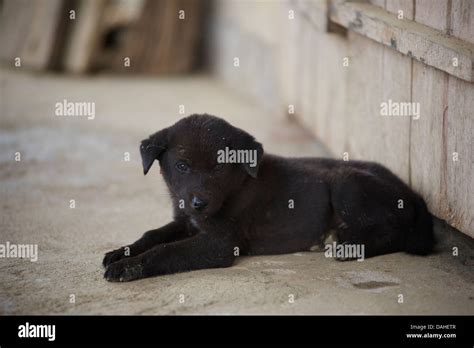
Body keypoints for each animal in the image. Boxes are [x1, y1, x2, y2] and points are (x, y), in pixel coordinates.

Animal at [103, 115, 434, 282]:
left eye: (220, 167)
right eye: (182, 166)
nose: (199, 203)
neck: (234, 188)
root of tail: (412, 194)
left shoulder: (219, 243)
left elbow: (167, 251)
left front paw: (127, 267)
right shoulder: (186, 221)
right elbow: (152, 235)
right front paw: (122, 252)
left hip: (346, 182)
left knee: (394, 231)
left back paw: (346, 246)